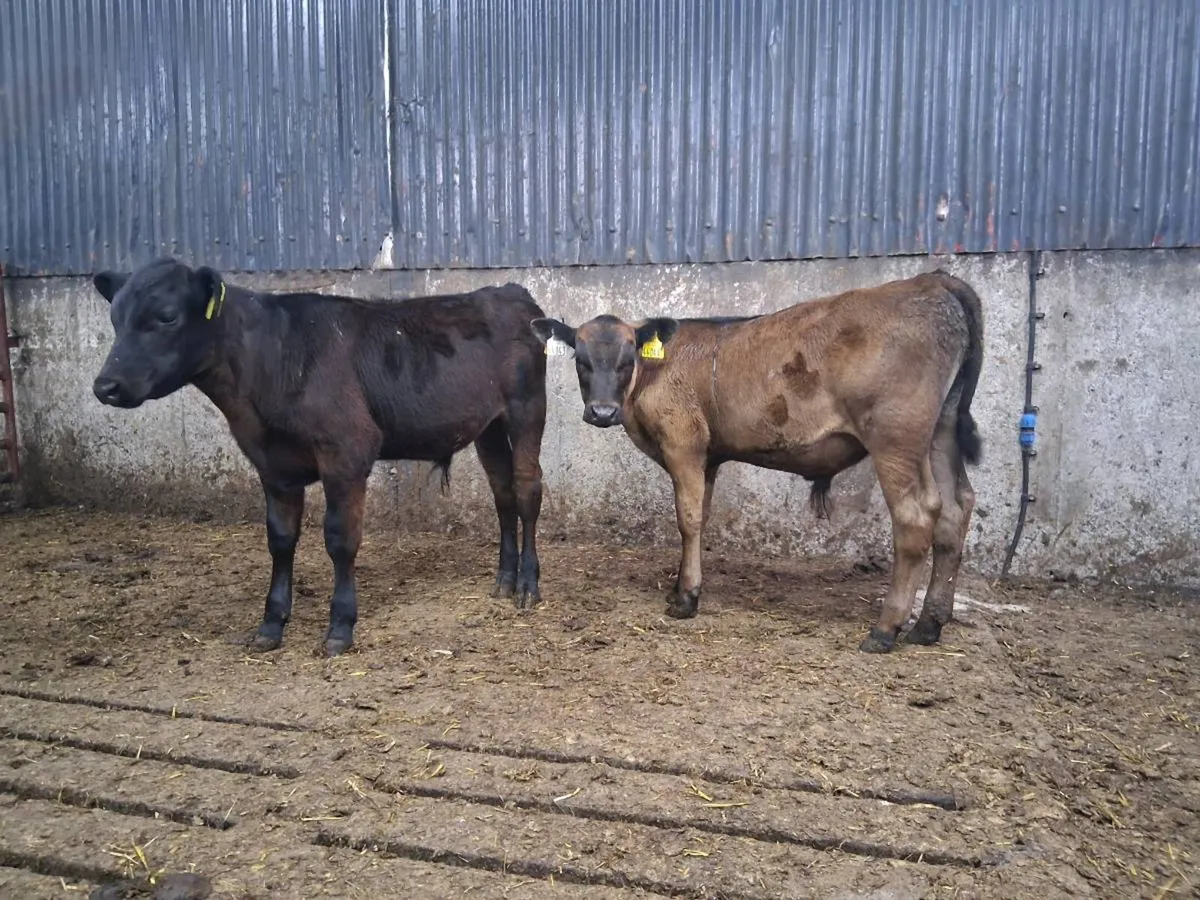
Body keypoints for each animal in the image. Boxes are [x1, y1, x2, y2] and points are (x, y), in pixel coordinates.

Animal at [92, 257, 547, 656]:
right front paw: (271, 624)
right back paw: (504, 581)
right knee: (502, 494)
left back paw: (528, 585)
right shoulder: (273, 466)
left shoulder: (347, 452)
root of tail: (510, 291)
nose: (105, 386)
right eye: (114, 319)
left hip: (527, 410)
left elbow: (340, 540)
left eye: (167, 316)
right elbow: (279, 540)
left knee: (526, 492)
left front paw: (340, 627)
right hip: (488, 427)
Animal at [532, 269, 983, 653]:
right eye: (581, 360)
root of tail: (932, 281)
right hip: (941, 432)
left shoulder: (684, 444)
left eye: (628, 360)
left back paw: (886, 628)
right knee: (955, 509)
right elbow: (701, 515)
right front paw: (681, 587)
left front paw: (686, 599)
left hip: (896, 437)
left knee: (916, 517)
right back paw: (929, 624)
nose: (602, 412)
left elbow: (687, 519)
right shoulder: (709, 458)